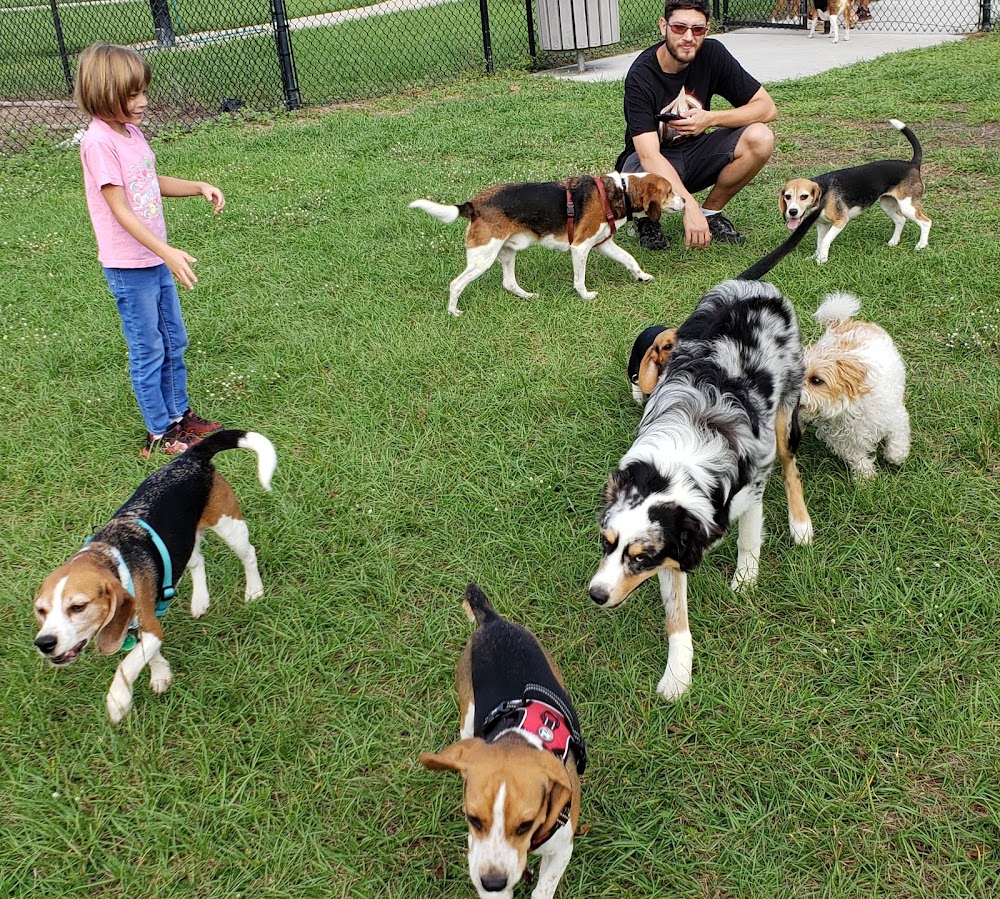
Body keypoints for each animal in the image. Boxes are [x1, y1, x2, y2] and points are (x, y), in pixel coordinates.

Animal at [33, 430, 276, 724]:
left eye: (78, 607)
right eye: (41, 611)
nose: (44, 643)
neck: (111, 559)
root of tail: (190, 457)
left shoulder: (150, 626)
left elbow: (127, 665)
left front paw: (118, 700)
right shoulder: (140, 627)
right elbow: (146, 656)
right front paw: (161, 673)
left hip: (229, 525)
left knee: (248, 554)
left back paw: (254, 591)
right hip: (183, 543)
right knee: (198, 561)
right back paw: (200, 600)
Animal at [406, 174, 680, 318]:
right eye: (669, 191)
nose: (685, 202)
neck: (620, 190)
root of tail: (473, 204)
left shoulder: (603, 243)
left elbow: (629, 259)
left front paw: (642, 276)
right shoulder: (580, 247)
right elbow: (580, 280)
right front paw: (585, 296)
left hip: (507, 253)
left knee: (508, 283)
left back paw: (527, 296)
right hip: (483, 257)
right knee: (456, 283)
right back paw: (454, 311)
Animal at [418, 584, 584, 899]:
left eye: (525, 825)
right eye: (473, 819)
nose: (492, 881)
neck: (518, 737)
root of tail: (492, 620)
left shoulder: (562, 848)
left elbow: (543, 888)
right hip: (467, 715)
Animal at [780, 118, 928, 264]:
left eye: (804, 196)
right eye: (787, 196)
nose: (792, 212)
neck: (824, 193)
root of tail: (912, 164)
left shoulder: (840, 221)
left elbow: (825, 241)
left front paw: (822, 260)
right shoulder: (822, 224)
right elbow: (820, 242)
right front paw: (815, 256)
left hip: (908, 206)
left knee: (926, 222)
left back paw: (921, 245)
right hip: (887, 205)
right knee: (900, 220)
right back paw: (893, 242)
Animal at [800, 294, 912, 478]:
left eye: (816, 380)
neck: (847, 410)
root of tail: (841, 322)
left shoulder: (895, 417)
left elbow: (898, 438)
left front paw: (895, 456)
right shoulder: (843, 441)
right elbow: (856, 456)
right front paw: (866, 475)